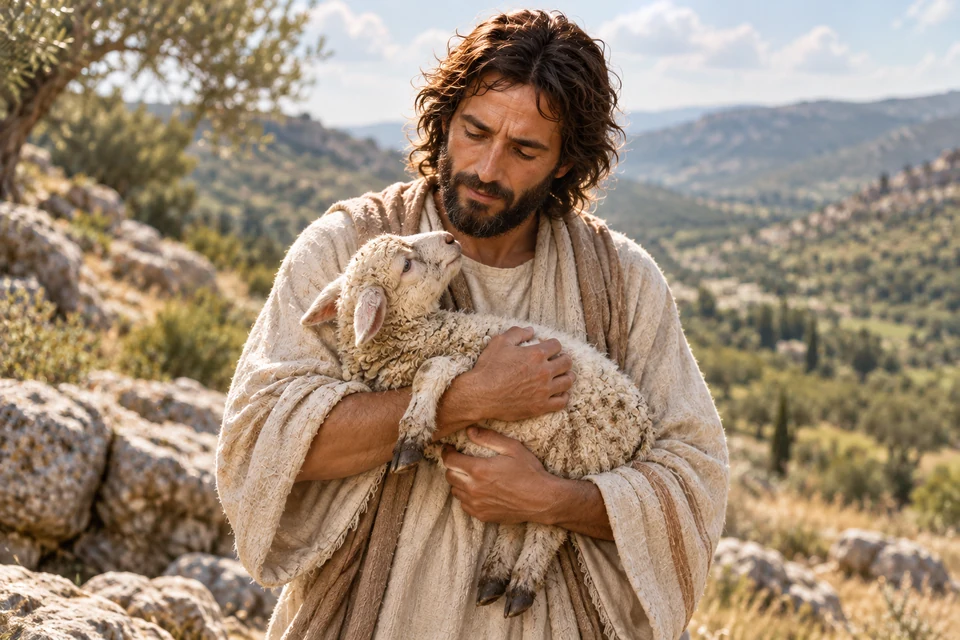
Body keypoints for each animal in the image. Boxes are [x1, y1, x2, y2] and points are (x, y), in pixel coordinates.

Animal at [301, 230, 654, 618]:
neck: (418, 335)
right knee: (521, 517)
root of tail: (644, 425)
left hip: (580, 455)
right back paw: (494, 576)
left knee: (548, 528)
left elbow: (431, 369)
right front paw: (419, 435)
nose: (448, 238)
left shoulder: (467, 359)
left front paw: (410, 436)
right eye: (406, 265)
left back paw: (521, 585)